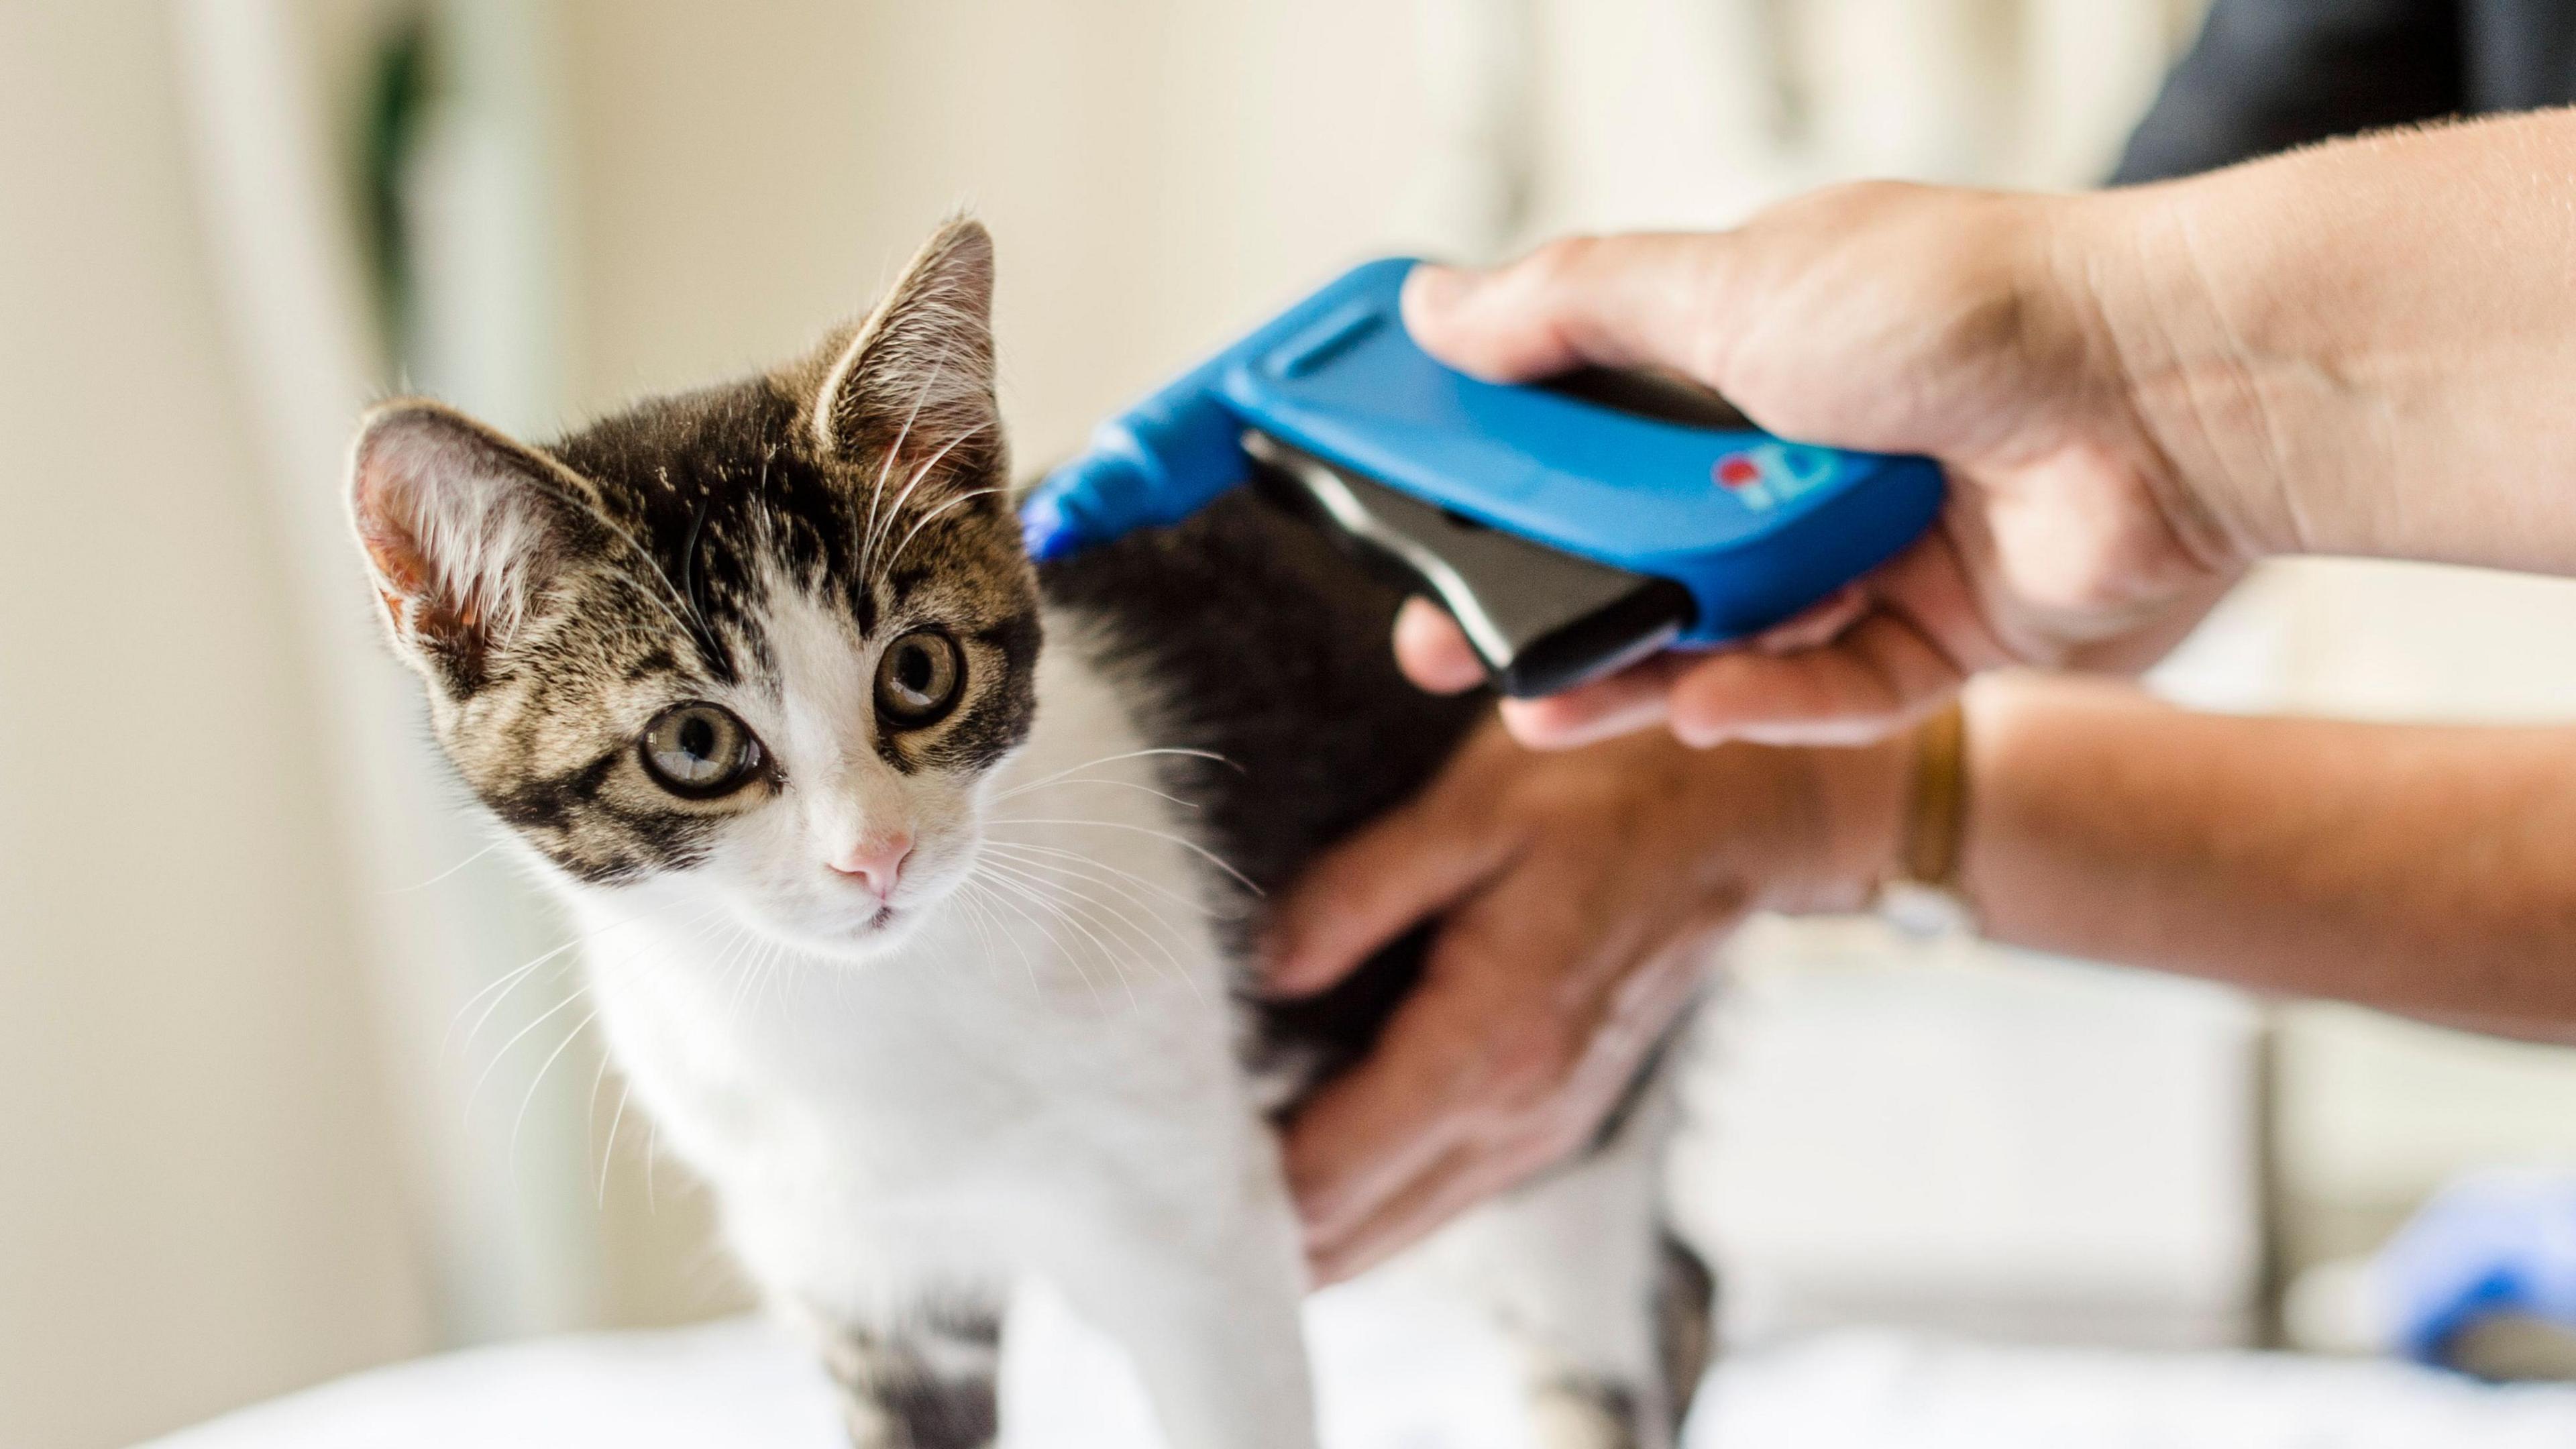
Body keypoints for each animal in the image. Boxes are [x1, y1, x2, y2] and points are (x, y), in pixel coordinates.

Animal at [342, 216, 1710, 1444]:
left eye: (920, 673)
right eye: (694, 746)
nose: (876, 856)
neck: (875, 1019)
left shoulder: (1202, 1243)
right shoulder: (858, 1273)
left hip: (1550, 1126)